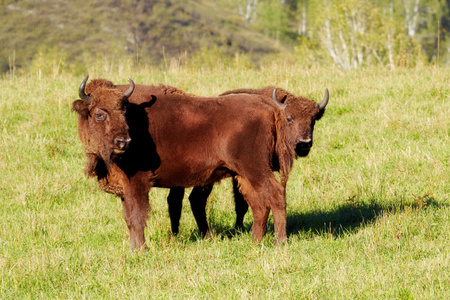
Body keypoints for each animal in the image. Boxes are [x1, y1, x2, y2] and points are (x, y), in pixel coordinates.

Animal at [71, 75, 294, 248]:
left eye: (124, 112)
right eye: (99, 114)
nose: (123, 141)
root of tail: (268, 105)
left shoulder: (137, 182)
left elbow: (137, 216)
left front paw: (141, 249)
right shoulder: (125, 187)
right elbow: (128, 218)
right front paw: (134, 247)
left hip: (255, 170)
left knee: (275, 195)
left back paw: (280, 242)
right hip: (243, 175)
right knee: (259, 205)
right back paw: (255, 241)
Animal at [165, 86, 326, 237]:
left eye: (313, 120)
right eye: (289, 118)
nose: (304, 143)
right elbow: (241, 203)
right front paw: (239, 228)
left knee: (186, 199)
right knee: (186, 199)